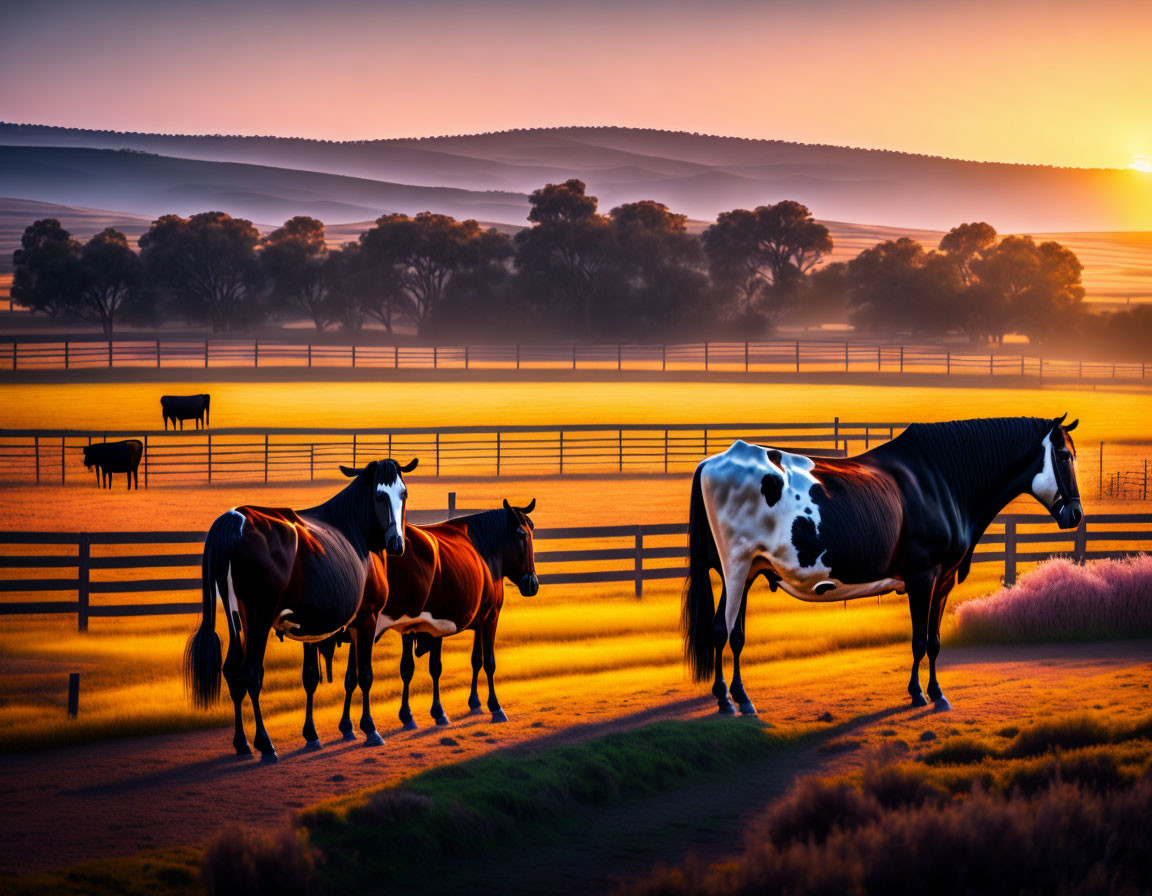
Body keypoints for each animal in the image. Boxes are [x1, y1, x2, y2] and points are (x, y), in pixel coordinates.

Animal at [186, 458, 421, 755]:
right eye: (380, 496)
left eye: (404, 494)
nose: (397, 543)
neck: (357, 531)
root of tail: (236, 518)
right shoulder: (367, 617)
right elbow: (365, 674)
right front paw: (370, 729)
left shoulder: (320, 628)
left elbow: (318, 677)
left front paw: (316, 733)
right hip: (258, 620)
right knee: (250, 674)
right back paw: (264, 743)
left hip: (235, 619)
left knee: (231, 671)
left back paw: (242, 743)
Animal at [327, 495, 536, 741]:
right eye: (522, 535)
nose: (532, 584)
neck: (486, 552)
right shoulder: (490, 616)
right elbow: (488, 663)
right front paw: (495, 707)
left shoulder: (466, 621)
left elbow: (468, 661)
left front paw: (468, 704)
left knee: (352, 676)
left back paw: (348, 726)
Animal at [686, 414, 1082, 714]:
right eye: (1063, 455)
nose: (1076, 514)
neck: (940, 481)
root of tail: (710, 463)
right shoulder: (923, 576)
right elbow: (919, 640)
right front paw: (921, 694)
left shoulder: (943, 581)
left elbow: (935, 640)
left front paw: (936, 692)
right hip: (735, 569)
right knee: (721, 629)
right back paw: (727, 700)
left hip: (746, 571)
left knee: (733, 634)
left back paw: (738, 697)